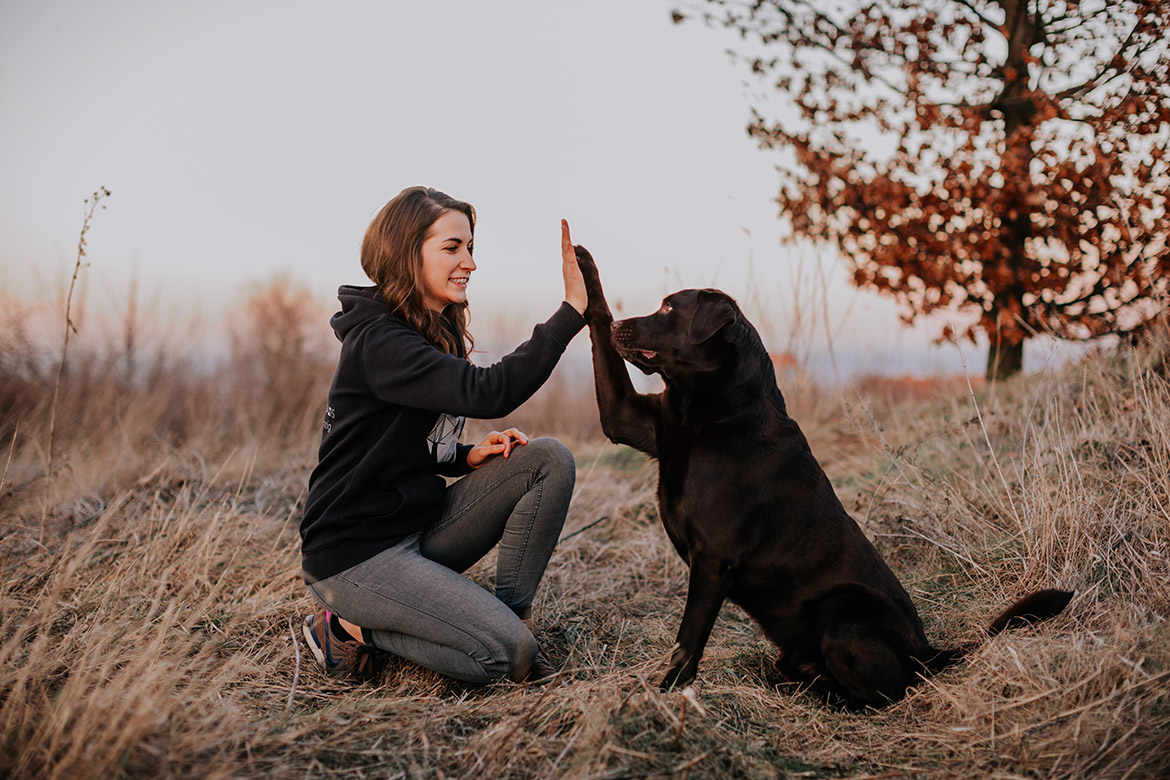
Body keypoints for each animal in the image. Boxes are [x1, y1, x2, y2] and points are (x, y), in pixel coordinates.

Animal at [570, 249, 1071, 706]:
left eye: (668, 309)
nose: (621, 326)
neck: (711, 411)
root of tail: (927, 652)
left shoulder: (713, 561)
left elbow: (688, 641)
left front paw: (664, 696)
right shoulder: (629, 419)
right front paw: (581, 266)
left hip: (842, 608)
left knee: (886, 692)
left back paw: (819, 692)